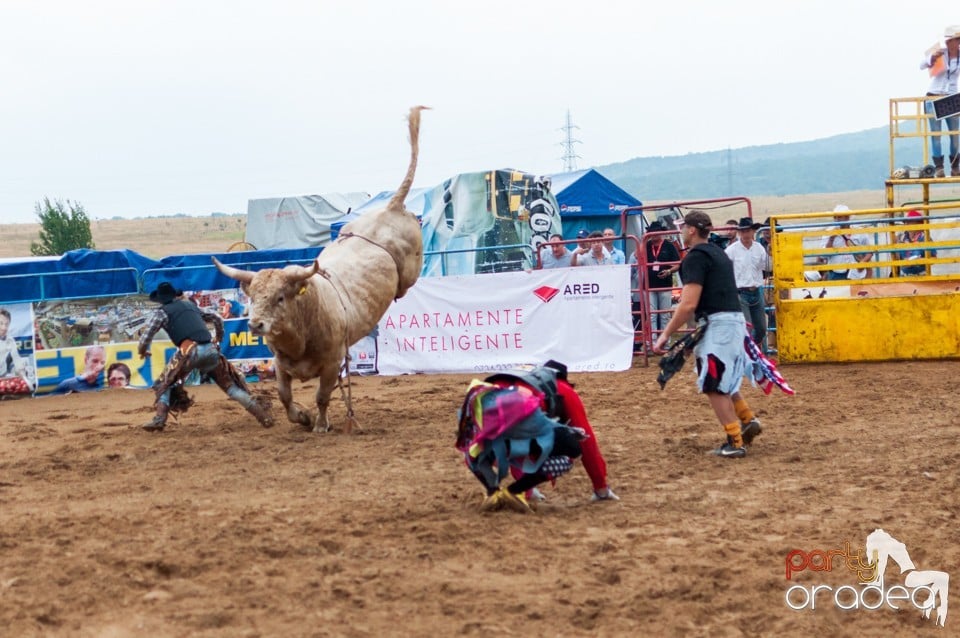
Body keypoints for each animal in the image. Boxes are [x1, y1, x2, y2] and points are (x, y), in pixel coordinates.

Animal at [218, 106, 432, 436]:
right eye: (253, 297)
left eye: (280, 298)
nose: (255, 324)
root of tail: (391, 207)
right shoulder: (280, 365)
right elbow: (284, 396)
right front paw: (302, 418)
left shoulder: (332, 363)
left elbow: (322, 395)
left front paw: (319, 424)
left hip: (411, 268)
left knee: (407, 281)